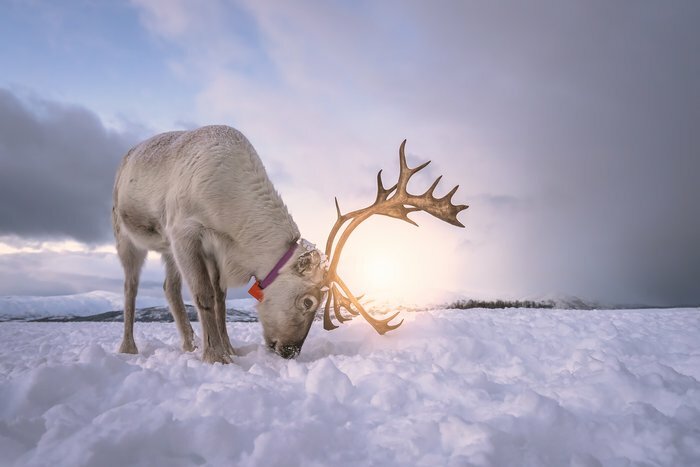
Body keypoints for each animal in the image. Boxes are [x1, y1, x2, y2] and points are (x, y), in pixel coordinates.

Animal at [112, 125, 467, 363]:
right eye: (308, 302)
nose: (291, 351)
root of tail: (127, 156)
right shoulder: (185, 231)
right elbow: (204, 297)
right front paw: (216, 357)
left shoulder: (217, 250)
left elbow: (221, 299)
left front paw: (229, 349)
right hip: (126, 233)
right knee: (131, 287)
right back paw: (128, 347)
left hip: (166, 249)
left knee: (169, 288)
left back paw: (188, 344)